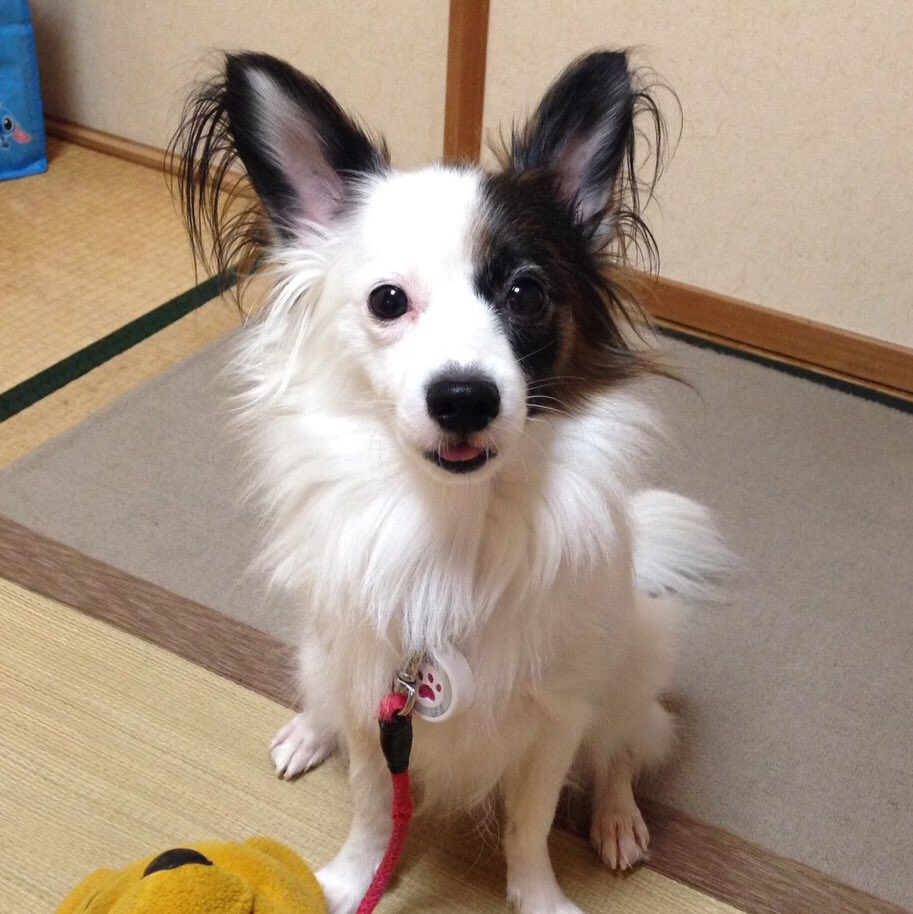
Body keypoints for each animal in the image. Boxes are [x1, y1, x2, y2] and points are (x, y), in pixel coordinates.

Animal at [173, 51, 732, 912]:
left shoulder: (556, 715)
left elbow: (530, 823)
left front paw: (538, 897)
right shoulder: (374, 702)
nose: (464, 396)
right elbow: (374, 805)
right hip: (318, 651)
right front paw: (349, 879)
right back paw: (308, 729)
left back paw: (615, 819)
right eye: (387, 301)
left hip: (631, 662)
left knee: (624, 746)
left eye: (525, 292)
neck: (453, 518)